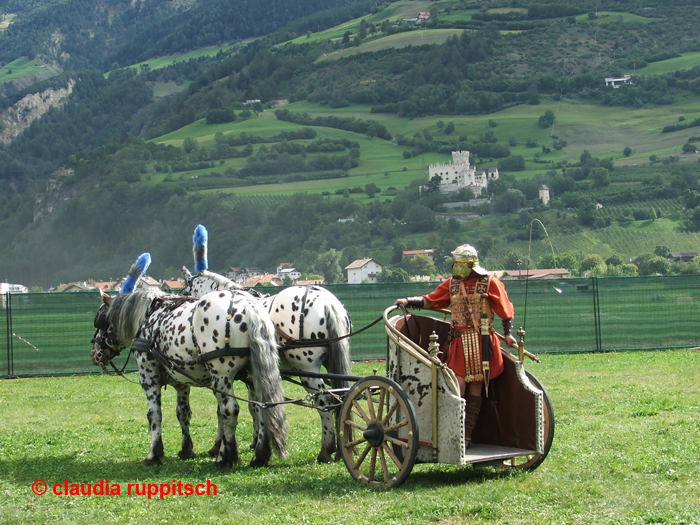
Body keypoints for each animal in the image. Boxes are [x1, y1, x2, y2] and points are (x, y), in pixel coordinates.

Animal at [91, 253, 288, 466]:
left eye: (100, 320)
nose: (94, 353)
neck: (149, 317)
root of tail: (249, 307)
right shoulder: (181, 382)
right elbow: (183, 413)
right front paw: (186, 449)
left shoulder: (148, 375)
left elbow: (154, 414)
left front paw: (154, 453)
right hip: (254, 375)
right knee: (262, 408)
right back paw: (259, 456)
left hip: (221, 375)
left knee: (230, 409)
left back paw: (225, 457)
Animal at [183, 223, 352, 460]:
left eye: (185, 290)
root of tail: (328, 302)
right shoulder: (253, 376)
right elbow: (257, 406)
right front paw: (256, 442)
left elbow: (241, 408)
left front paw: (222, 445)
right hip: (332, 364)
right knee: (341, 397)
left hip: (308, 367)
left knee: (324, 401)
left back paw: (325, 450)